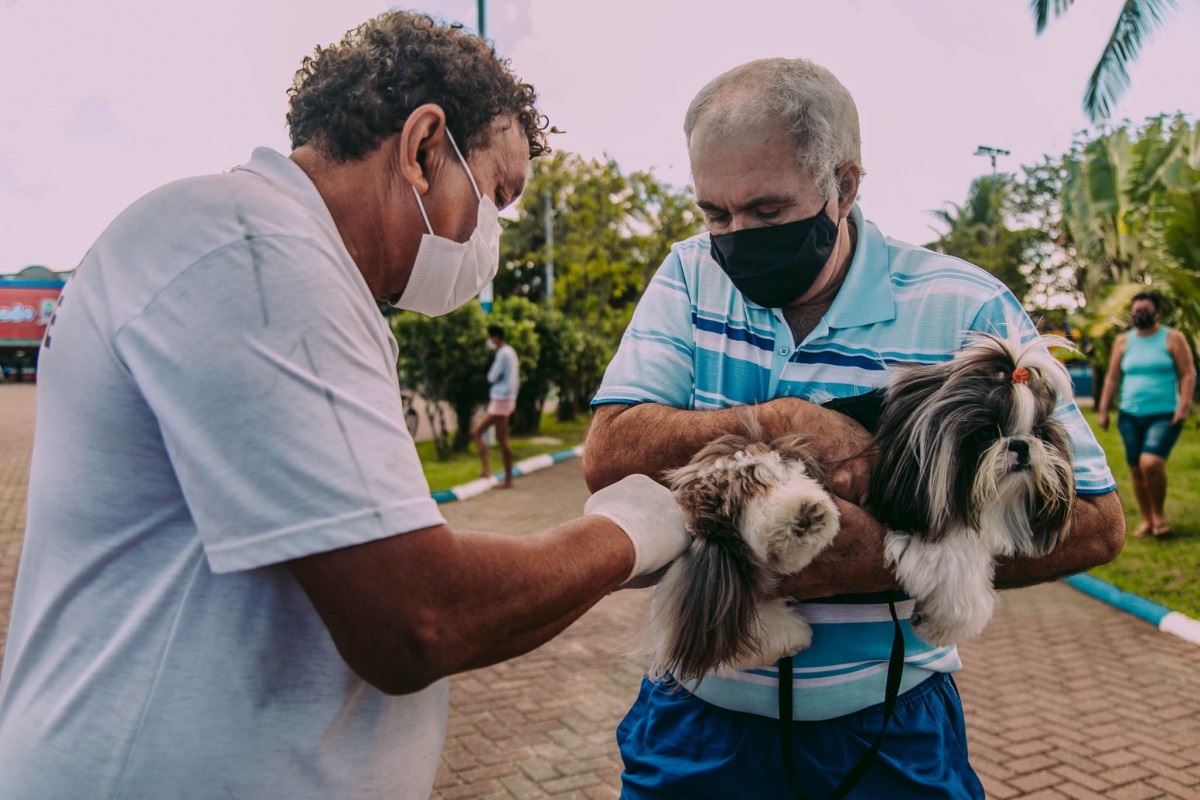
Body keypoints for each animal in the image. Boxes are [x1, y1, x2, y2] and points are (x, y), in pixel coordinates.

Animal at [648, 331, 1080, 681]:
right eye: (987, 433)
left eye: (1040, 432)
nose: (1022, 446)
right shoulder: (922, 516)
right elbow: (961, 559)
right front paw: (950, 620)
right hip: (762, 452)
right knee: (757, 483)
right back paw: (801, 517)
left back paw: (781, 632)